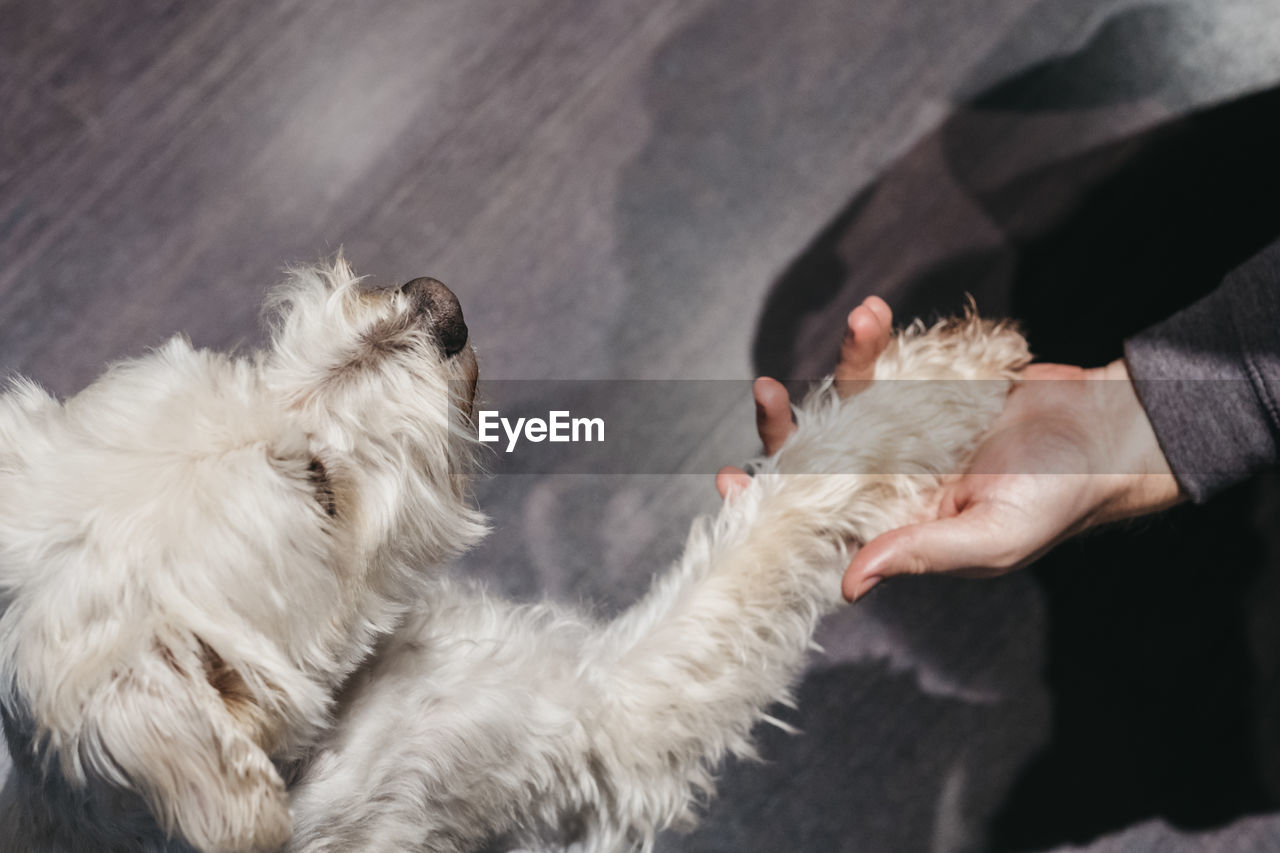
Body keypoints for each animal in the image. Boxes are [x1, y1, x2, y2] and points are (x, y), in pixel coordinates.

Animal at [0, 258, 1024, 850]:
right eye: (319, 489)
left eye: (231, 373)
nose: (437, 307)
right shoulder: (591, 724)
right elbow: (766, 532)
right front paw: (928, 383)